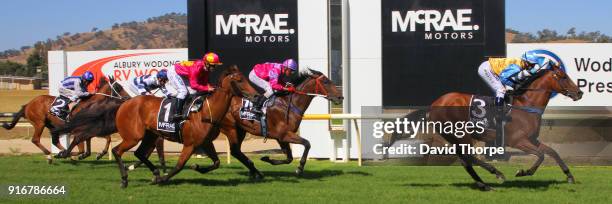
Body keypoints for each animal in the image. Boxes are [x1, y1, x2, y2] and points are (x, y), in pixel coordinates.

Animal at [109, 66, 256, 187]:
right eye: (240, 80)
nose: (256, 95)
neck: (206, 112)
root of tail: (125, 103)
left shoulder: (206, 142)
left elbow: (216, 163)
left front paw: (197, 167)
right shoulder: (190, 144)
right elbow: (179, 165)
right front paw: (163, 179)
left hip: (150, 135)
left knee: (138, 153)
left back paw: (155, 173)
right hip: (133, 136)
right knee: (117, 151)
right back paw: (125, 179)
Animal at [190, 69, 344, 178]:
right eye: (326, 82)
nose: (340, 97)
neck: (289, 104)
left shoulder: (281, 137)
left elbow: (289, 158)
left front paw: (267, 158)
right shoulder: (284, 134)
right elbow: (307, 144)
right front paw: (299, 168)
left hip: (240, 130)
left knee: (236, 151)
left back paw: (255, 171)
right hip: (231, 128)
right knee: (233, 150)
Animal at [404, 65, 580, 191]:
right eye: (564, 77)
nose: (579, 92)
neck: (526, 106)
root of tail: (433, 105)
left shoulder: (531, 139)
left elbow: (552, 151)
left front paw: (569, 176)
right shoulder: (518, 141)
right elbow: (541, 155)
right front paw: (523, 172)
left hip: (455, 137)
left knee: (465, 161)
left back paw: (484, 184)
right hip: (461, 134)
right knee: (469, 157)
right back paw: (497, 173)